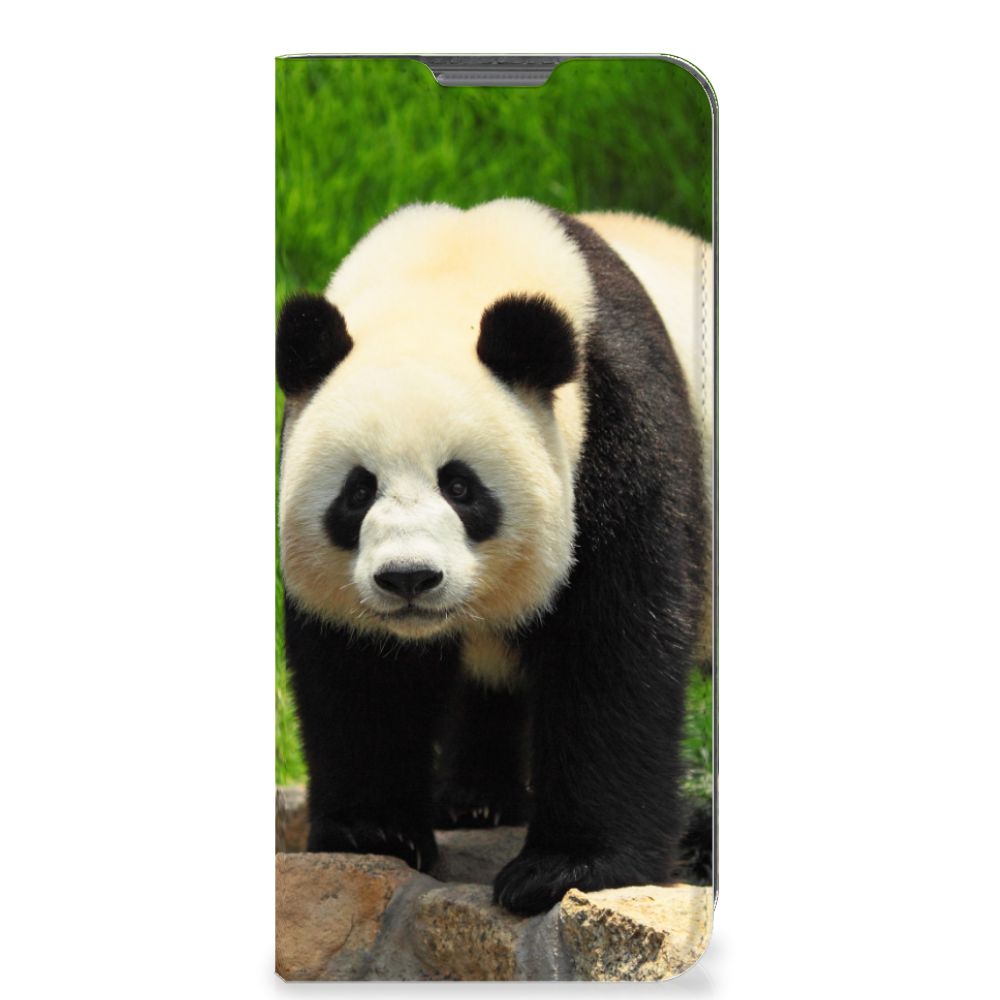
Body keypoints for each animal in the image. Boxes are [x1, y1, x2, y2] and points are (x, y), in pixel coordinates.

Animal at [277, 198, 711, 917]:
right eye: (358, 491)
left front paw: (566, 868)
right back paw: (475, 800)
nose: (409, 578)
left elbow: (612, 646)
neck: (449, 269)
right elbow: (360, 672)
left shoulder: (618, 429)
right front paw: (375, 832)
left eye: (461, 486)